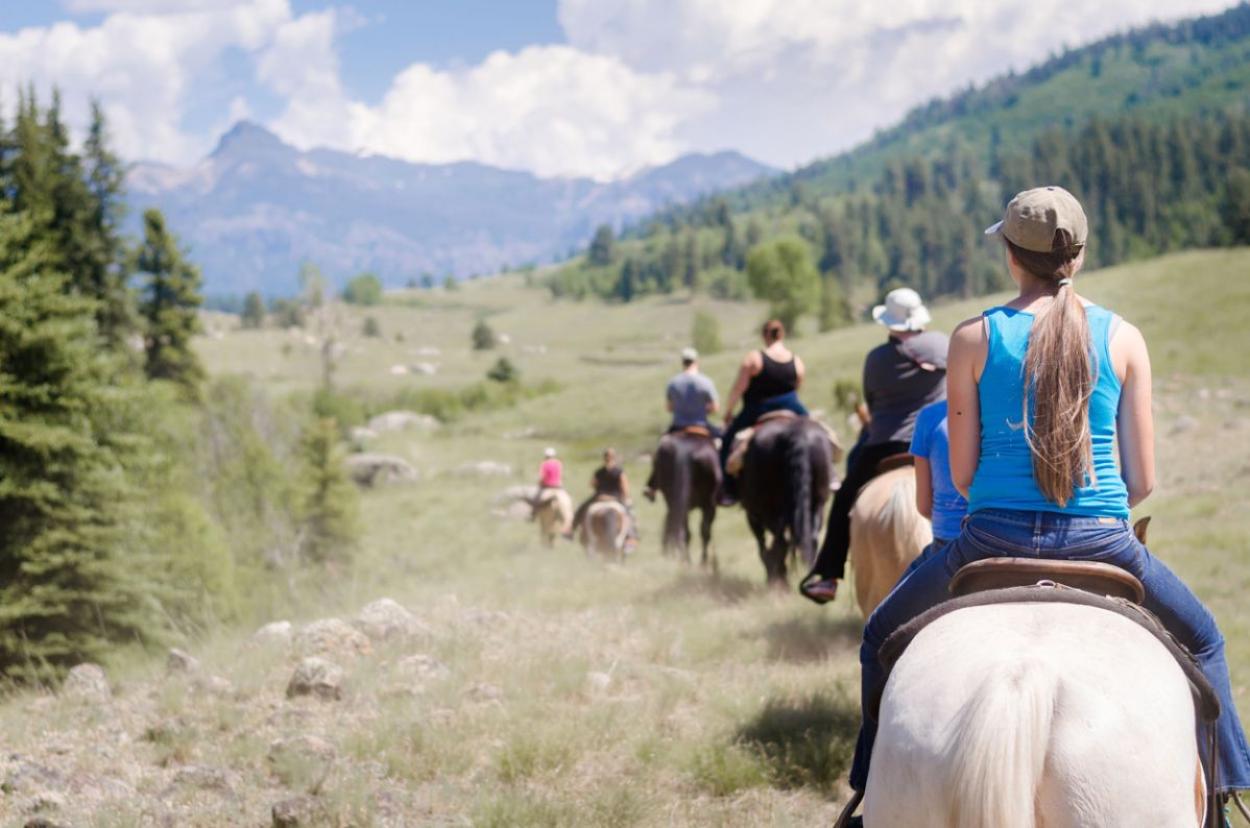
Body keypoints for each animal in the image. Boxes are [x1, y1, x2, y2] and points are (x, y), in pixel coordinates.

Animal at [650, 430, 720, 567]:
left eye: (653, 464)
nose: (649, 487)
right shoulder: (709, 506)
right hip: (701, 505)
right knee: (694, 532)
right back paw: (692, 561)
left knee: (685, 531)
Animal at [735, 417, 835, 587]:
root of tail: (796, 433)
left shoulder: (754, 514)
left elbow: (766, 545)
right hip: (818, 502)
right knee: (810, 538)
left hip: (766, 509)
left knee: (782, 542)